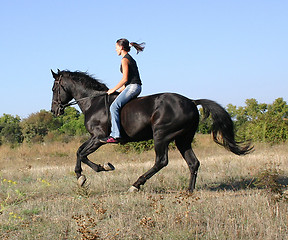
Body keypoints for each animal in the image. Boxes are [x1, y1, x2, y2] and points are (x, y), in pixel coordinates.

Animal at [51, 70, 252, 193]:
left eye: (54, 88)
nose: (54, 111)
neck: (94, 102)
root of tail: (191, 101)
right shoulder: (94, 138)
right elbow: (79, 151)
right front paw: (86, 174)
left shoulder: (99, 138)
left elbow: (82, 154)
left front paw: (91, 172)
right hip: (183, 139)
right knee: (193, 163)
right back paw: (189, 190)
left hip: (161, 135)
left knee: (161, 161)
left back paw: (136, 185)